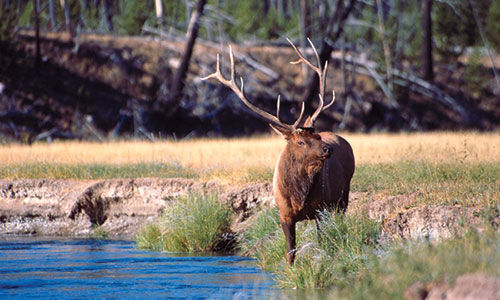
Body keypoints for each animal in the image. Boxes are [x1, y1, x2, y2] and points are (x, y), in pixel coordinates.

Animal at [201, 38, 354, 264]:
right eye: (300, 141)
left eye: (317, 137)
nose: (328, 148)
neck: (299, 196)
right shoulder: (284, 214)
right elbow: (290, 253)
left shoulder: (320, 210)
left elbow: (322, 242)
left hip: (344, 194)